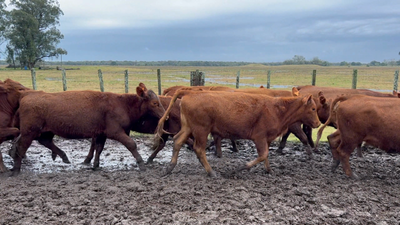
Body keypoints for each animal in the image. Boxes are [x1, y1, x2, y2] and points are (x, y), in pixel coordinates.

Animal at [10, 83, 165, 173]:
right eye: (155, 103)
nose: (164, 114)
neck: (123, 104)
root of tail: (26, 95)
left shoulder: (102, 133)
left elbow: (99, 148)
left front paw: (95, 164)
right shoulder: (115, 131)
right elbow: (131, 144)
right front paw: (141, 163)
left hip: (46, 131)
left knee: (45, 141)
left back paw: (63, 156)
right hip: (29, 132)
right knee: (21, 147)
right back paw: (16, 169)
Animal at [155, 90, 320, 177]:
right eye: (313, 109)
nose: (318, 123)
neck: (277, 109)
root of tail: (189, 94)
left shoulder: (267, 139)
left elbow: (266, 156)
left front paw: (269, 170)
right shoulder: (259, 137)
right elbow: (263, 155)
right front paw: (240, 168)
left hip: (188, 127)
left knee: (177, 141)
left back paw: (170, 167)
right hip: (201, 130)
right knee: (199, 149)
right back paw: (211, 172)